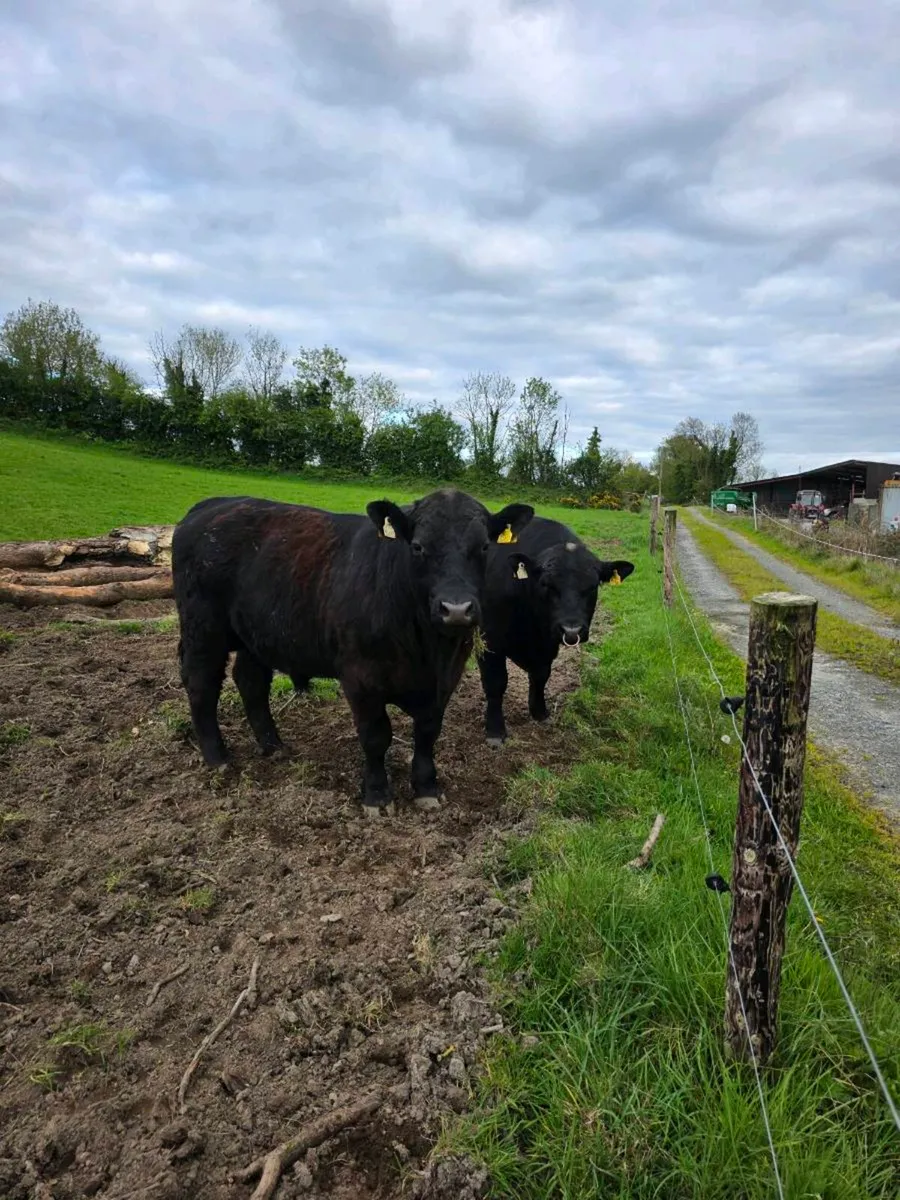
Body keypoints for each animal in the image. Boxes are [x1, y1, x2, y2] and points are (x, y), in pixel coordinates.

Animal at [171, 489, 534, 815]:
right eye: (418, 546)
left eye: (484, 547)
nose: (456, 609)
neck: (427, 649)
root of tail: (213, 504)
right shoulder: (360, 678)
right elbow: (376, 736)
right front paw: (377, 795)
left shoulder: (446, 679)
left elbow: (427, 733)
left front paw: (427, 788)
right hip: (203, 628)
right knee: (202, 685)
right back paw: (218, 757)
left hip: (254, 635)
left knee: (251, 682)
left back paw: (273, 746)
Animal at [476, 516, 635, 745]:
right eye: (547, 584)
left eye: (593, 586)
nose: (572, 629)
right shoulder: (489, 640)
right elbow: (496, 683)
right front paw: (496, 731)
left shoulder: (547, 645)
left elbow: (541, 676)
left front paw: (540, 713)